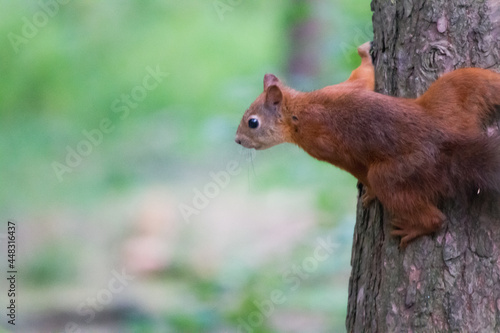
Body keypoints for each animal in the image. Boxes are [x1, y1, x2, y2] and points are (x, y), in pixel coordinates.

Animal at [234, 42, 500, 246]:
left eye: (253, 122)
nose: (237, 140)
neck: (301, 111)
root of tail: (449, 140)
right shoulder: (343, 87)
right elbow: (363, 77)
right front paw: (365, 52)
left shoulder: (328, 148)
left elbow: (357, 169)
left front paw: (369, 193)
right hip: (455, 92)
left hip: (400, 173)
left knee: (433, 217)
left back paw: (415, 227)